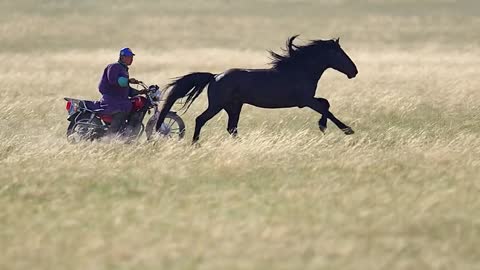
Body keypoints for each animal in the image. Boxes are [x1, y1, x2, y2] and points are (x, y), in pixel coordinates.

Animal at [156, 35, 358, 143]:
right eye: (339, 53)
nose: (354, 71)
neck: (301, 70)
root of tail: (215, 76)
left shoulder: (307, 100)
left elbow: (326, 104)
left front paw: (323, 126)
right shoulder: (306, 100)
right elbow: (326, 108)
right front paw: (346, 129)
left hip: (234, 106)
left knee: (231, 128)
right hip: (218, 105)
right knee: (201, 119)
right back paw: (195, 144)